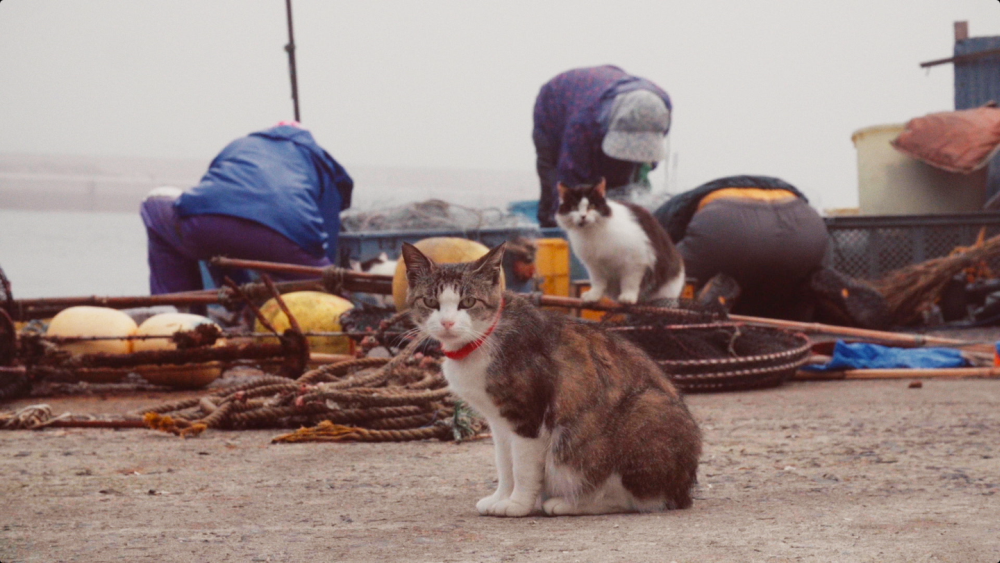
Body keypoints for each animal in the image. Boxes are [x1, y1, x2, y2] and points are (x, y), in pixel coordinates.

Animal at [400, 240, 704, 516]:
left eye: (468, 302)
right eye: (430, 302)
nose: (447, 323)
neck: (482, 339)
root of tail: (684, 489)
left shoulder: (528, 414)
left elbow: (522, 467)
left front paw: (517, 505)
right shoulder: (498, 420)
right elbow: (504, 462)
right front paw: (500, 497)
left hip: (643, 410)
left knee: (639, 498)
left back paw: (571, 504)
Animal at [556, 180, 688, 304]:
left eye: (592, 206)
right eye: (574, 208)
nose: (583, 216)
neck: (591, 231)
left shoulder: (635, 262)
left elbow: (629, 282)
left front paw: (627, 297)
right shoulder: (594, 266)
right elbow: (598, 283)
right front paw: (593, 296)